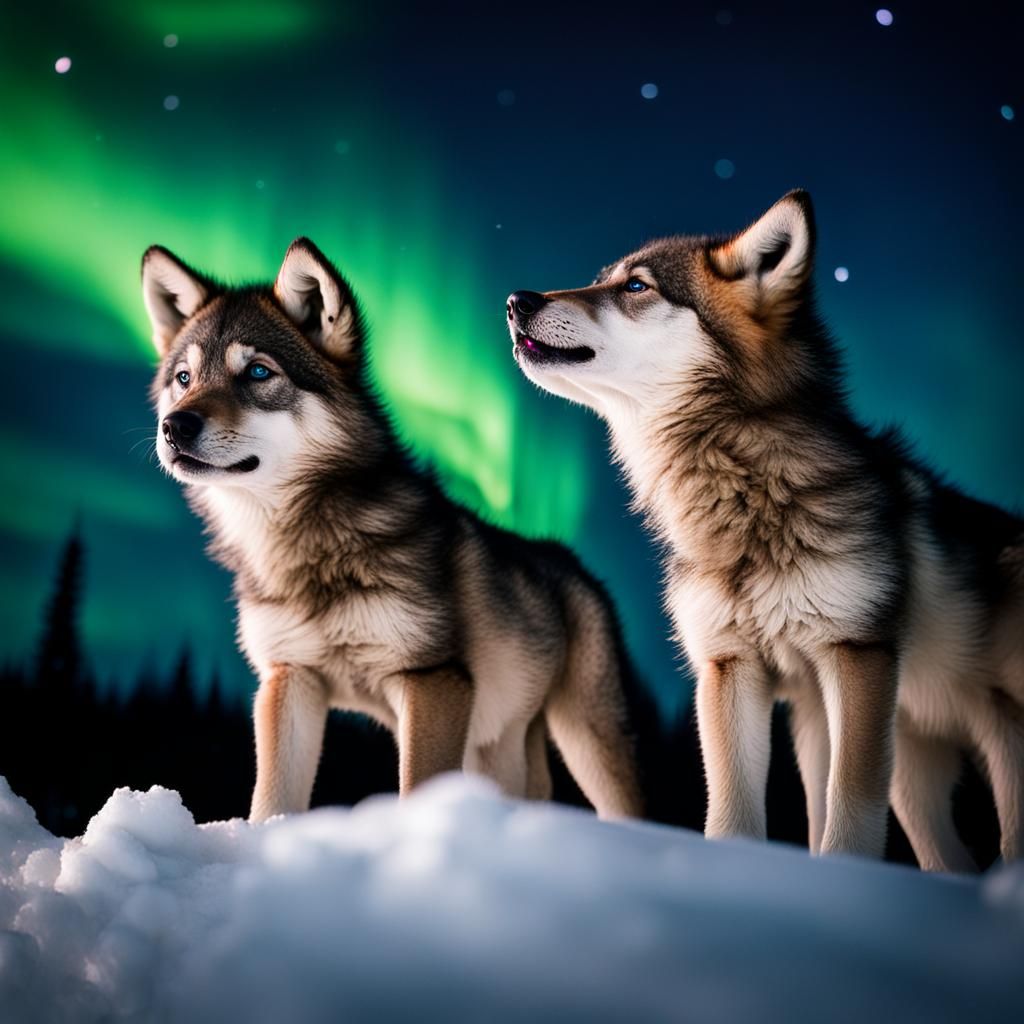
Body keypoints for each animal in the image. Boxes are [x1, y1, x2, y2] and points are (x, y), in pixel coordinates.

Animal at [140, 238, 644, 823]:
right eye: (184, 378)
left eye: (259, 374)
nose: (174, 426)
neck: (305, 547)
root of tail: (571, 562)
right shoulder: (289, 679)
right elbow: (271, 801)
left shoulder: (430, 681)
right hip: (496, 742)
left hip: (585, 735)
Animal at [507, 190, 1024, 868]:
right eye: (600, 280)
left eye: (636, 286)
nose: (516, 301)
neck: (744, 492)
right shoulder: (730, 668)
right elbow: (731, 816)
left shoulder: (854, 655)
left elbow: (849, 812)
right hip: (914, 777)